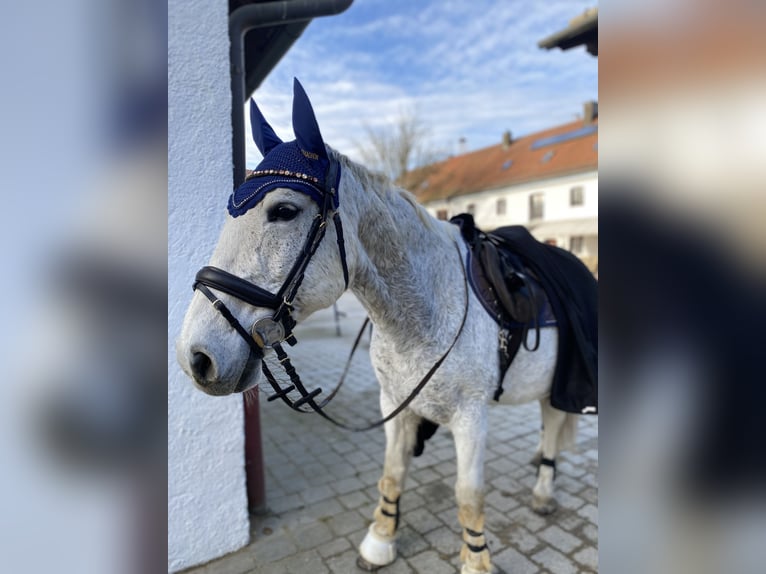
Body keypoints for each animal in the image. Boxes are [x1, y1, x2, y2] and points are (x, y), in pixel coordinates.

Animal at [176, 82, 584, 574]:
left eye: (284, 210)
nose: (197, 356)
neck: (423, 313)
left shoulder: (471, 417)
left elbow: (468, 495)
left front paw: (476, 559)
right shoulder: (397, 405)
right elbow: (392, 474)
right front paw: (381, 539)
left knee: (554, 422)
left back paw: (543, 491)